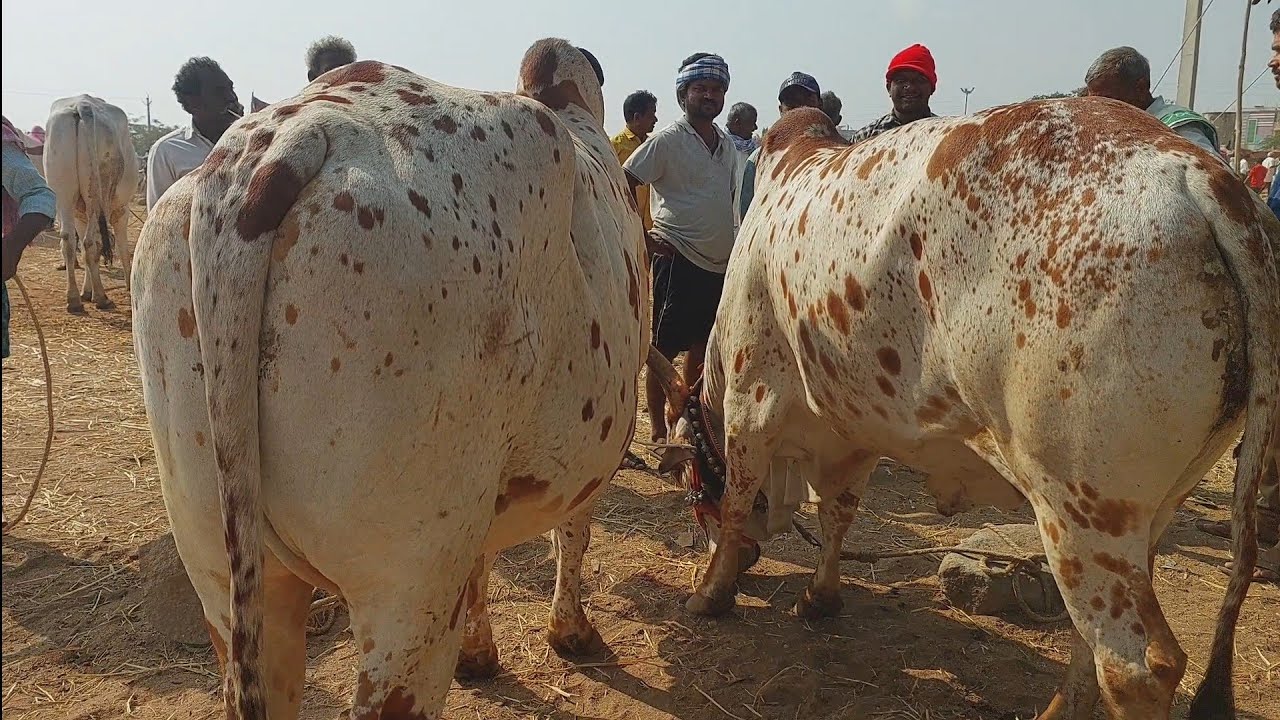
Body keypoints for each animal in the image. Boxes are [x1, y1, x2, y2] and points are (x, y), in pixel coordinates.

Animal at [44, 95, 139, 312]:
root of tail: (82, 104)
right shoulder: (121, 211)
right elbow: (122, 247)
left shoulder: (81, 214)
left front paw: (87, 292)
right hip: (99, 193)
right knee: (91, 242)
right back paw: (101, 298)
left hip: (63, 193)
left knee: (70, 241)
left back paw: (74, 299)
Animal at [131, 39, 648, 719]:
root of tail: (285, 141)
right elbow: (575, 533)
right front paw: (571, 633)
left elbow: (485, 562)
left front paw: (481, 654)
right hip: (406, 599)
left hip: (226, 575)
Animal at [645, 101, 1279, 719]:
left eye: (688, 475)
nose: (747, 560)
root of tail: (1205, 178)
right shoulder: (856, 429)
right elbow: (838, 515)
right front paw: (819, 597)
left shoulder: (752, 406)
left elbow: (736, 505)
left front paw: (711, 593)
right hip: (1145, 513)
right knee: (1090, 639)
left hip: (1080, 506)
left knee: (1140, 668)